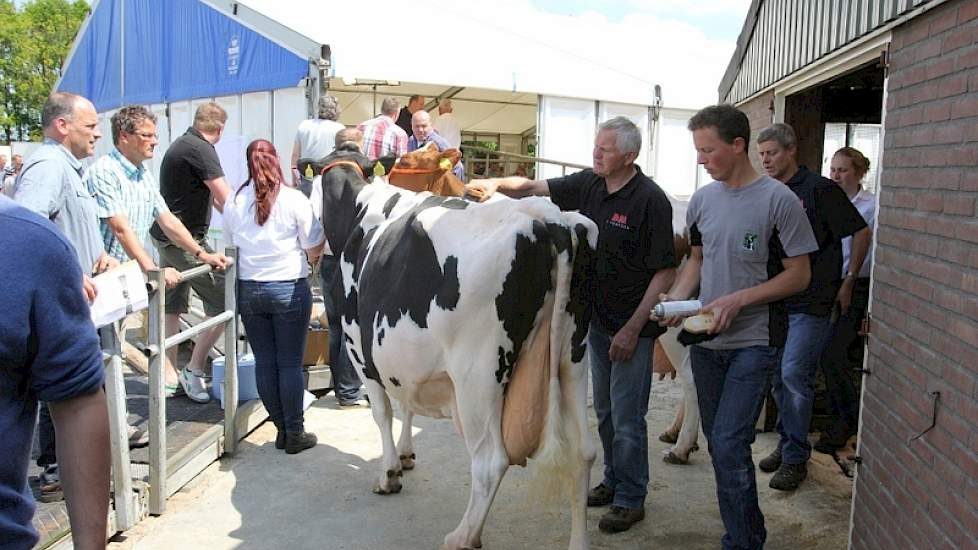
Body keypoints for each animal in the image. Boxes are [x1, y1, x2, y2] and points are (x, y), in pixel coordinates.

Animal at [322, 164, 596, 550]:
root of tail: (547, 217)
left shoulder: (358, 348)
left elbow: (383, 412)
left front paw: (389, 473)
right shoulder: (401, 359)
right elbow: (406, 405)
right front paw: (406, 455)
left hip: (478, 374)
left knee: (489, 461)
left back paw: (462, 536)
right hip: (573, 357)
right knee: (583, 453)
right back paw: (578, 541)